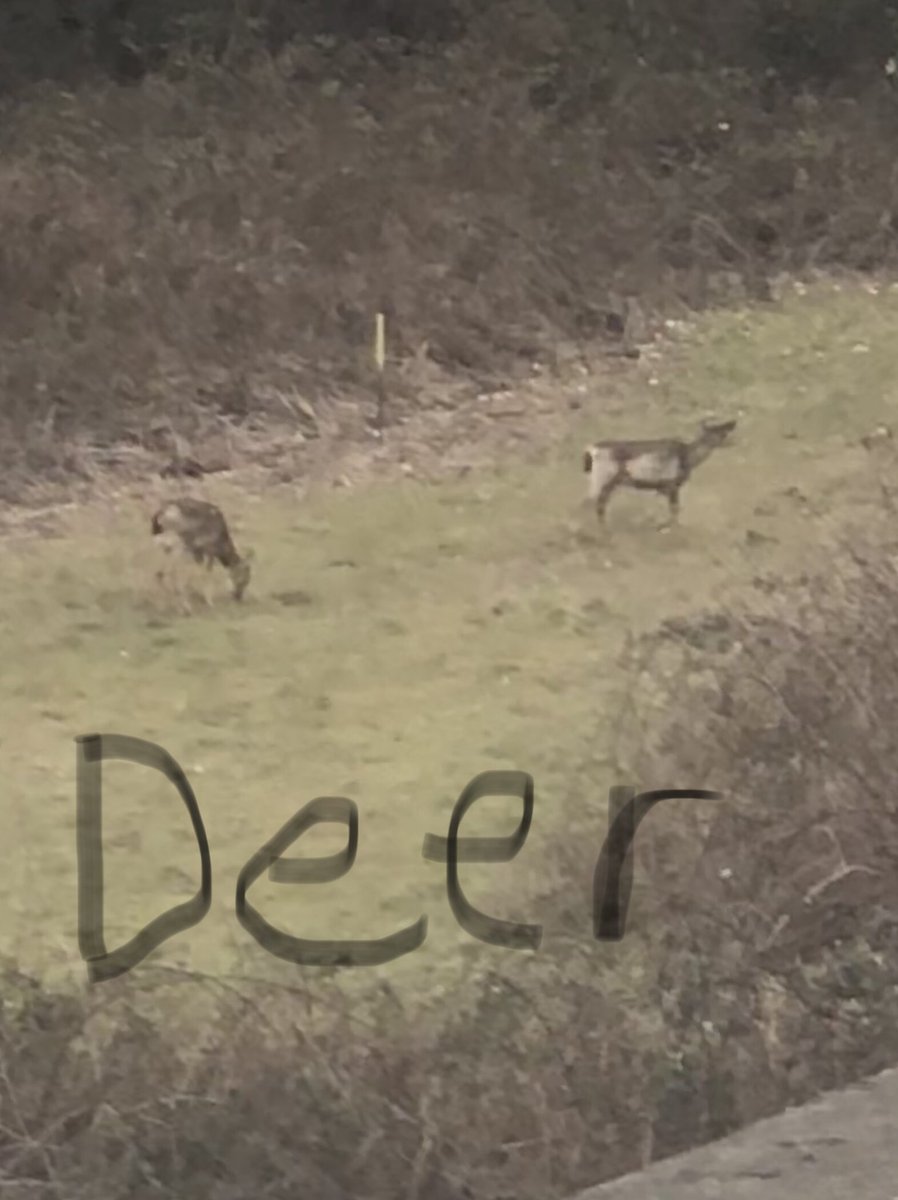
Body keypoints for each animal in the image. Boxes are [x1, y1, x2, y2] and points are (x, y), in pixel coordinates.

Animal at [583, 417, 737, 529]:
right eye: (720, 432)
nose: (732, 424)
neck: (688, 457)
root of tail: (591, 450)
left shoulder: (663, 488)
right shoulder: (672, 485)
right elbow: (675, 509)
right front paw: (671, 528)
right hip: (603, 478)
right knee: (592, 503)